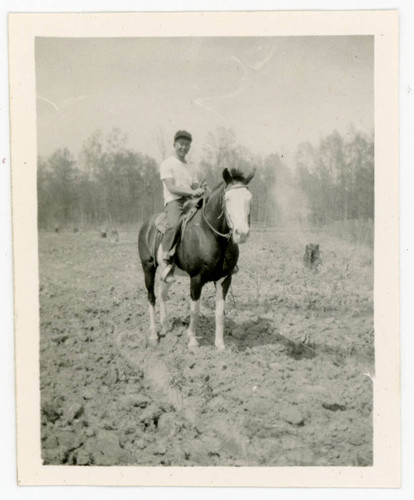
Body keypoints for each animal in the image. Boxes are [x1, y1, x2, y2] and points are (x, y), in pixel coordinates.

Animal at [137, 166, 254, 350]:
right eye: (227, 198)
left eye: (249, 198)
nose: (241, 233)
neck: (210, 234)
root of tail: (147, 224)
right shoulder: (196, 279)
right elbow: (195, 310)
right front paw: (192, 341)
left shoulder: (224, 279)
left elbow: (219, 312)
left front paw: (220, 344)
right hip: (148, 267)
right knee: (151, 297)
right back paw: (154, 335)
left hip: (167, 273)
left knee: (162, 293)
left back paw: (165, 327)